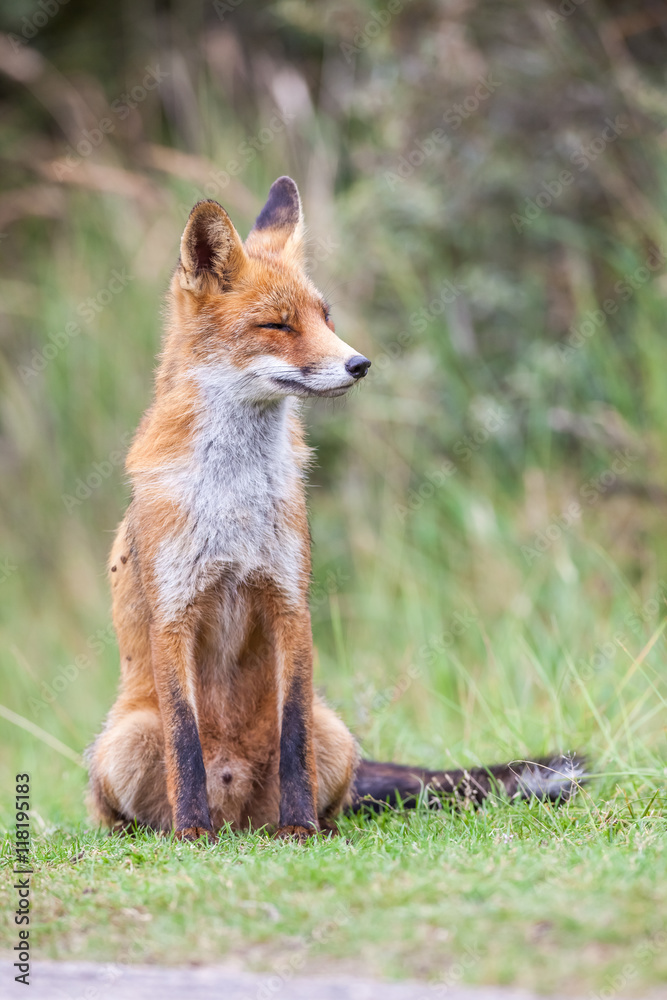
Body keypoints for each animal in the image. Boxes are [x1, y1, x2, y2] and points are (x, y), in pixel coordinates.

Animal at [87, 176, 585, 841]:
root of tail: (239, 813)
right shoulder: (174, 614)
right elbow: (184, 745)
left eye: (325, 318)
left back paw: (303, 827)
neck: (234, 499)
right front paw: (194, 836)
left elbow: (293, 733)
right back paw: (169, 832)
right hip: (123, 741)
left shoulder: (290, 602)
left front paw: (300, 831)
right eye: (276, 324)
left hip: (338, 734)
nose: (360, 364)